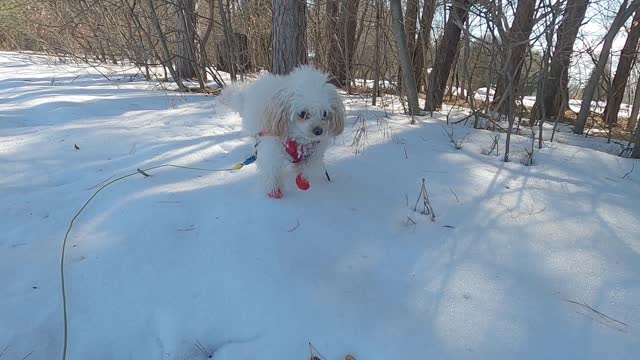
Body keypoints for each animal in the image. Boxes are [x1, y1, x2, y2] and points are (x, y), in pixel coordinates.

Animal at [224, 66, 344, 198]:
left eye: (324, 113)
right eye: (303, 113)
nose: (318, 131)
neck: (298, 140)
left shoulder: (314, 152)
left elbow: (307, 166)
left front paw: (302, 178)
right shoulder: (272, 149)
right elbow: (271, 170)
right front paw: (274, 190)